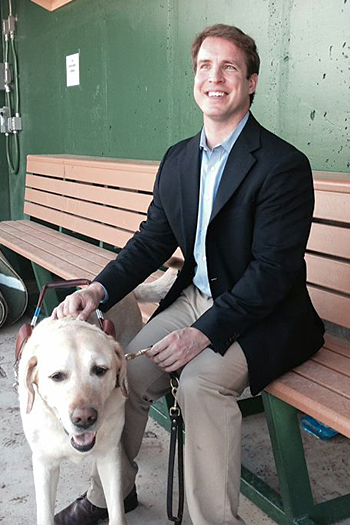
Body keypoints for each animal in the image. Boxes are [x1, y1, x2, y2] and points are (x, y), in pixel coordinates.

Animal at [17, 264, 179, 524]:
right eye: (57, 376)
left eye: (100, 370)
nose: (84, 419)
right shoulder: (44, 464)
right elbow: (45, 514)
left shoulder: (109, 458)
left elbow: (117, 511)